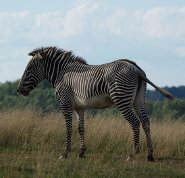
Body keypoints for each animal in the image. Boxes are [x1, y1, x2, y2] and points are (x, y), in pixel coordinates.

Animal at [17, 46, 175, 161]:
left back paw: (132, 154)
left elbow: (68, 128)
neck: (61, 74)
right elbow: (81, 128)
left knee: (135, 123)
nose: (18, 90)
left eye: (29, 68)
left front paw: (65, 153)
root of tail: (136, 68)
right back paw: (150, 155)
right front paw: (81, 153)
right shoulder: (79, 107)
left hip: (122, 99)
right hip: (139, 99)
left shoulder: (65, 103)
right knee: (146, 122)